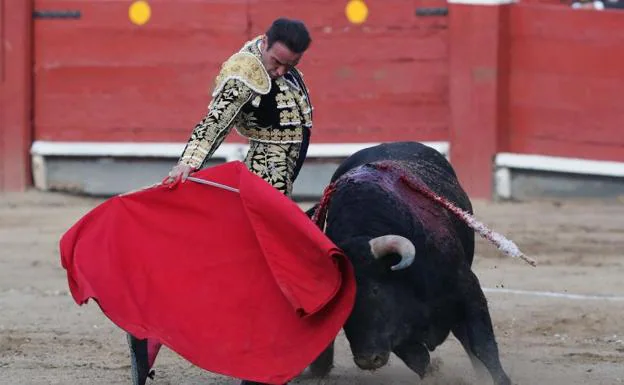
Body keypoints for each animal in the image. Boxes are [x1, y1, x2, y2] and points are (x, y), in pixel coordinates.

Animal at [241, 141, 510, 384]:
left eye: (376, 291)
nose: (367, 360)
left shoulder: (468, 293)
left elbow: (483, 348)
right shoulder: (399, 330)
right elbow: (419, 358)